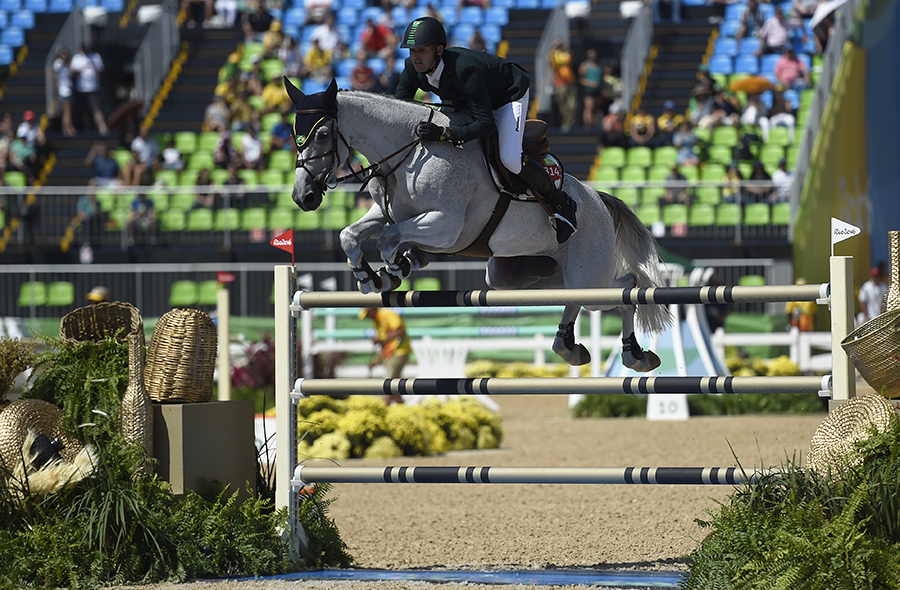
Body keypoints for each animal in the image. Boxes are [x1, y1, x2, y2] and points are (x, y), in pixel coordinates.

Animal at [284, 78, 672, 370]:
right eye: (294, 134)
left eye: (322, 134)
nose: (303, 197)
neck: (411, 151)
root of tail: (599, 200)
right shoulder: (386, 211)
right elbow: (350, 234)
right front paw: (370, 275)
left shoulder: (446, 226)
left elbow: (389, 238)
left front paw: (396, 267)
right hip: (522, 277)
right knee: (573, 298)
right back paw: (567, 346)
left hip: (588, 276)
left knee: (627, 290)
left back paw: (635, 355)